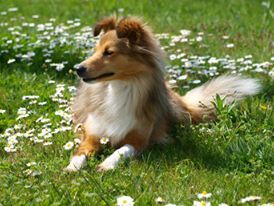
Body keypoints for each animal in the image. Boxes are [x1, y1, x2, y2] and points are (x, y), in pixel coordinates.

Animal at [64, 16, 262, 171]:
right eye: (95, 51)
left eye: (109, 52)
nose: (78, 69)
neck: (117, 88)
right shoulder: (92, 135)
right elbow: (80, 153)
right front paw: (72, 167)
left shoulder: (139, 139)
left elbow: (122, 150)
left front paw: (106, 164)